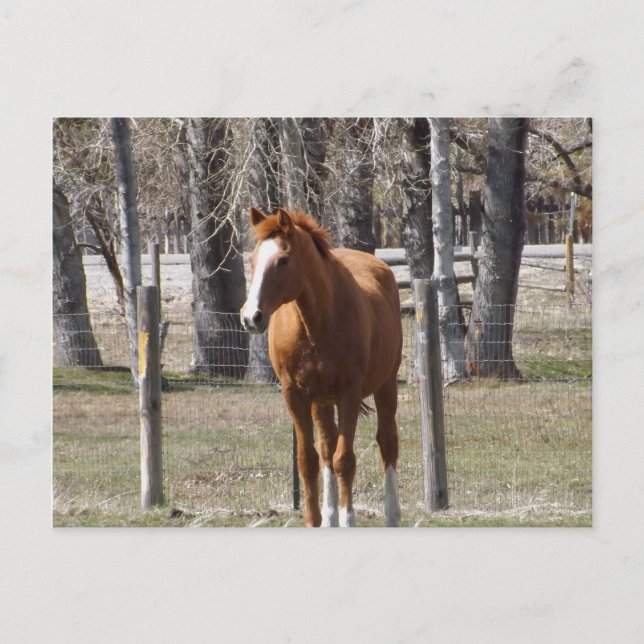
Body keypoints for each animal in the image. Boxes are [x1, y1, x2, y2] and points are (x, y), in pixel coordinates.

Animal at [241, 207, 402, 527]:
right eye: (252, 260)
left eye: (283, 260)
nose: (251, 317)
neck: (315, 323)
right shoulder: (295, 395)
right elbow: (309, 460)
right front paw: (314, 519)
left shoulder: (349, 393)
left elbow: (345, 460)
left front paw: (349, 518)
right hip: (322, 401)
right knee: (327, 446)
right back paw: (329, 517)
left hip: (386, 384)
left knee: (387, 441)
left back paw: (392, 515)